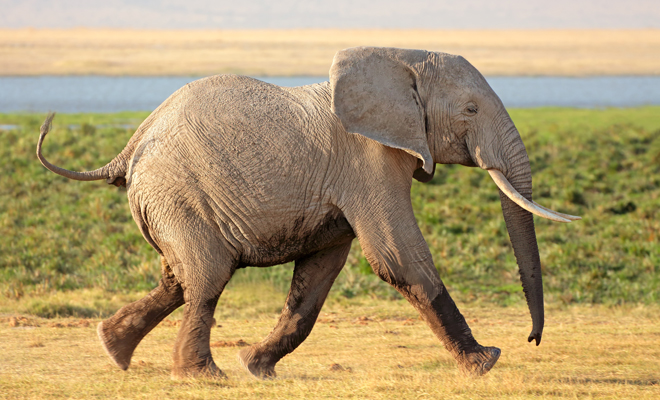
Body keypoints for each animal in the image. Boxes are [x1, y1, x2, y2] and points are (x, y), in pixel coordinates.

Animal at [36, 47, 580, 379]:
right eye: (470, 110)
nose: (531, 339)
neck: (399, 58)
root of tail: (129, 147)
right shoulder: (368, 161)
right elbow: (397, 257)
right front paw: (485, 363)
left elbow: (318, 278)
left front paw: (257, 367)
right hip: (178, 193)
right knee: (207, 276)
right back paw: (201, 376)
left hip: (169, 201)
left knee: (178, 277)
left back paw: (114, 350)